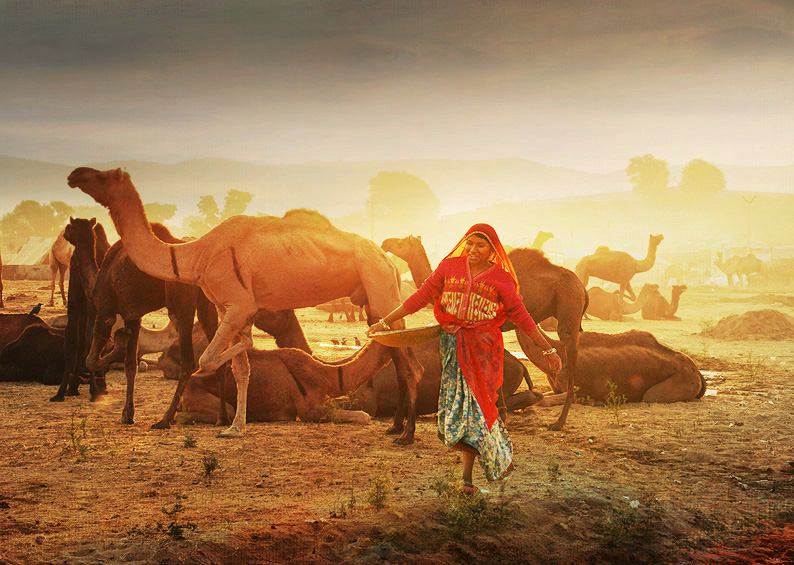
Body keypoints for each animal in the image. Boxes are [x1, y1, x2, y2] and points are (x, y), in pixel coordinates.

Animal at [49, 218, 110, 404]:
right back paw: (74, 386)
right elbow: (71, 342)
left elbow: (91, 343)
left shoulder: (95, 310)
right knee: (83, 341)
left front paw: (95, 390)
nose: (64, 232)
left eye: (70, 226)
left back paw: (100, 385)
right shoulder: (74, 307)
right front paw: (61, 391)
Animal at [68, 166, 424, 440]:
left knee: (411, 363)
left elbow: (209, 358)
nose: (74, 175)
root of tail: (387, 260)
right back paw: (395, 428)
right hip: (375, 302)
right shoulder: (227, 307)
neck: (198, 254)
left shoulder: (239, 304)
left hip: (380, 288)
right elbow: (241, 369)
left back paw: (407, 435)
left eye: (103, 176)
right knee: (398, 355)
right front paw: (234, 427)